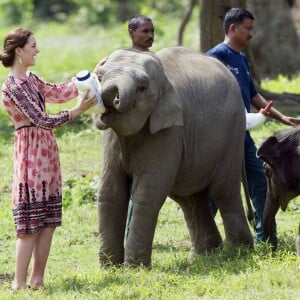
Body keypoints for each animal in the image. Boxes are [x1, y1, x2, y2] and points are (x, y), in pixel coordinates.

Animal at [94, 45, 253, 266]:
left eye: (142, 88)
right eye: (99, 77)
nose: (109, 97)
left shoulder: (169, 130)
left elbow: (148, 192)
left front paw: (134, 268)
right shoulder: (112, 138)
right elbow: (110, 191)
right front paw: (110, 267)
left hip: (233, 132)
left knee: (223, 190)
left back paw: (239, 251)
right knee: (190, 198)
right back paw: (205, 254)